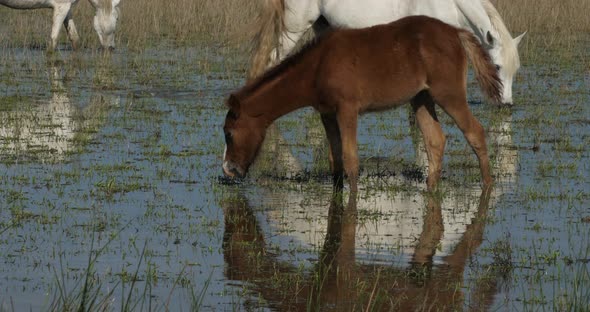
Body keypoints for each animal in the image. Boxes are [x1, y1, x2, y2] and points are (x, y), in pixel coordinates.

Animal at [224, 15, 502, 194]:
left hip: (448, 93)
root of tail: (456, 32)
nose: (229, 170)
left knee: (474, 132)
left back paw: (488, 186)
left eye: (229, 134)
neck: (318, 66)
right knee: (435, 140)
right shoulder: (327, 113)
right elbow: (335, 159)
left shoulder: (347, 109)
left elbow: (351, 160)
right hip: (421, 98)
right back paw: (430, 190)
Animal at [250, 0, 528, 105]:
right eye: (497, 67)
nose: (507, 103)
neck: (448, 5)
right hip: (293, 30)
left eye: (516, 70)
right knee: (272, 63)